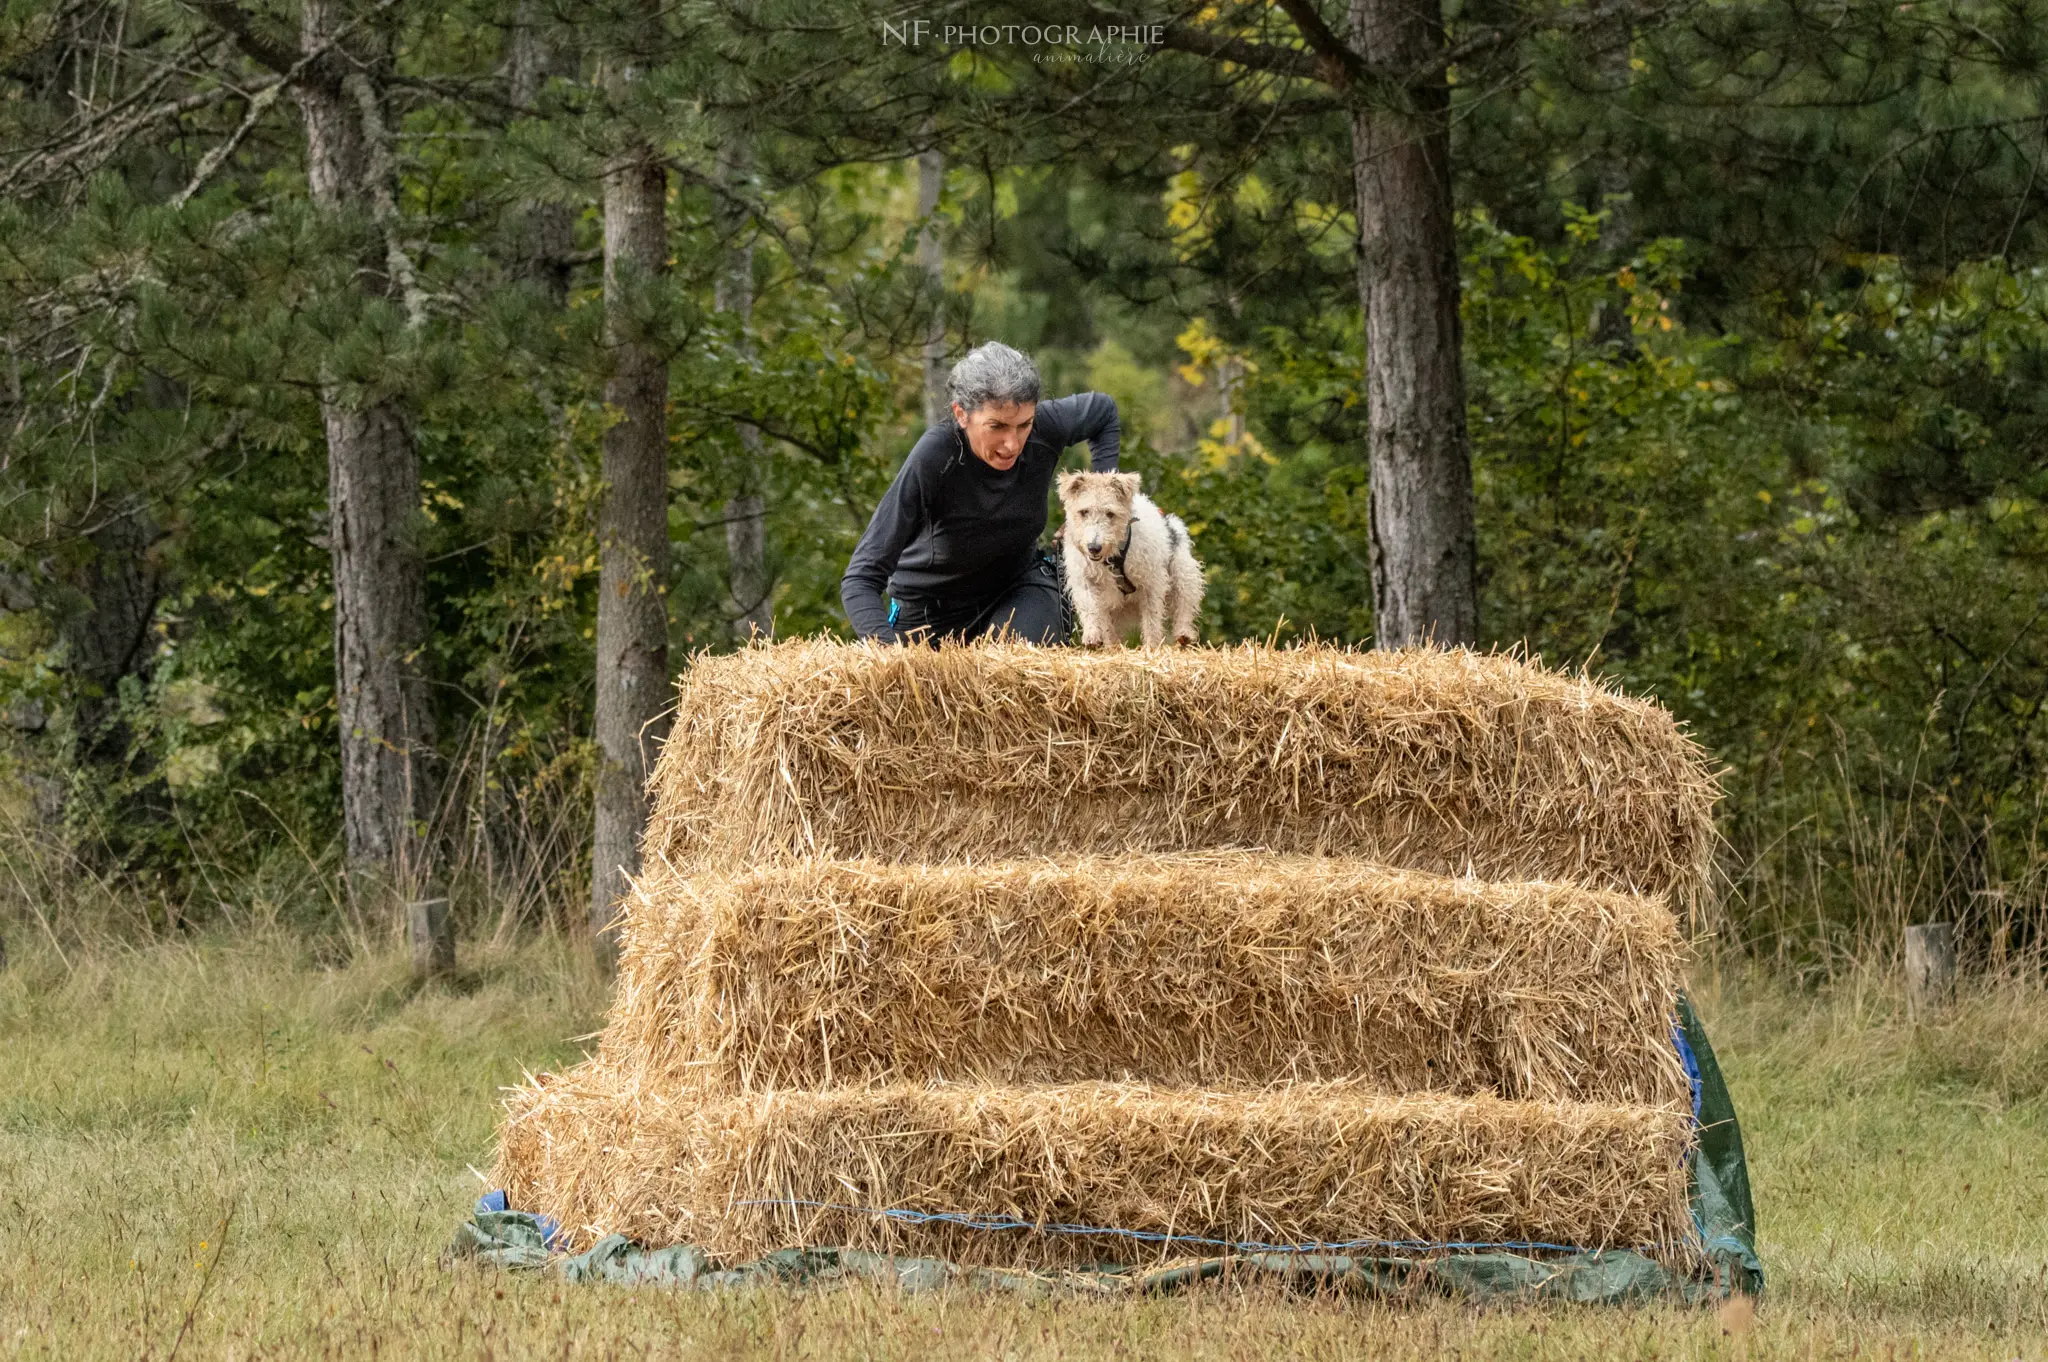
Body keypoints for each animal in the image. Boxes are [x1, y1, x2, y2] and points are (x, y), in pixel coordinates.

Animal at [1056, 471, 1196, 647]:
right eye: (1083, 512)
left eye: (1110, 513)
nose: (1094, 547)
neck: (1112, 557)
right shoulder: (1085, 579)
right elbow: (1089, 606)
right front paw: (1092, 635)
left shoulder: (1151, 582)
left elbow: (1152, 619)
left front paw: (1152, 646)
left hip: (1183, 573)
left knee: (1184, 605)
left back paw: (1184, 633)